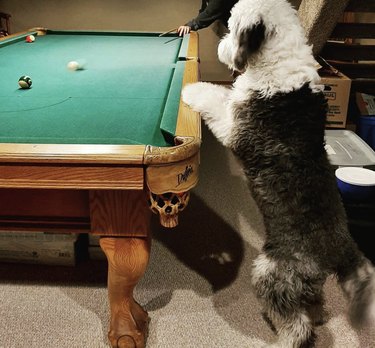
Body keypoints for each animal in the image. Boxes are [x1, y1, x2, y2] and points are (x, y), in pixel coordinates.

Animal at [182, 0, 375, 346]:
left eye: (232, 26)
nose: (220, 46)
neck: (279, 62)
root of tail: (342, 249)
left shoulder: (235, 127)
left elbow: (212, 96)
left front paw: (191, 89)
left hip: (273, 272)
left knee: (297, 324)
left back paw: (284, 335)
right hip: (306, 283)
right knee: (313, 306)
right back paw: (316, 314)